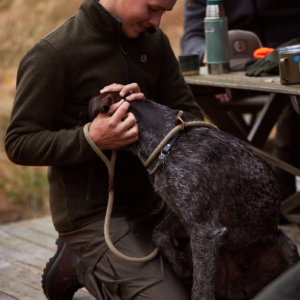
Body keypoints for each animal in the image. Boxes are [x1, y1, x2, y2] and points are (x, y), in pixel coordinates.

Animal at [85, 92, 298, 300]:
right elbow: (159, 234)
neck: (169, 144)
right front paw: (180, 267)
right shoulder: (183, 211)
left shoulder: (204, 229)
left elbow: (201, 290)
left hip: (289, 249)